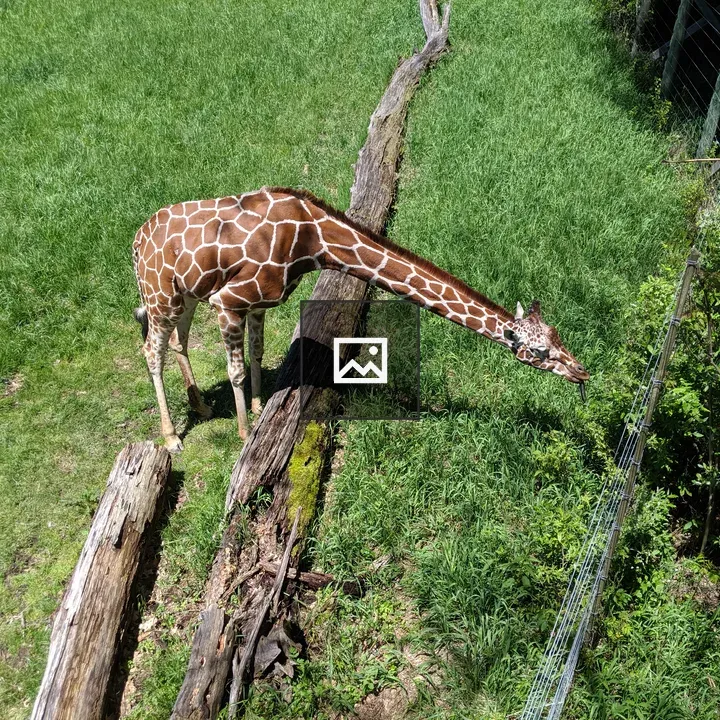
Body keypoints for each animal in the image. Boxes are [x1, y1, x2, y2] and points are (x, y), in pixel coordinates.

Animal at [133, 187, 590, 452]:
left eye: (557, 334)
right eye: (540, 351)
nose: (582, 372)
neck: (311, 241)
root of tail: (137, 242)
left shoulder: (258, 302)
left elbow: (257, 354)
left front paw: (262, 411)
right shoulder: (229, 300)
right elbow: (237, 370)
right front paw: (246, 436)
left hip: (186, 294)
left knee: (178, 340)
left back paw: (202, 406)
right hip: (160, 296)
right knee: (151, 350)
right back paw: (171, 437)